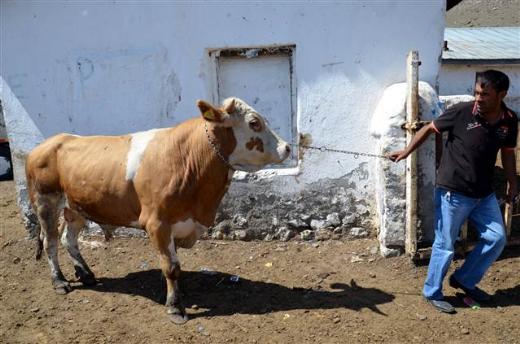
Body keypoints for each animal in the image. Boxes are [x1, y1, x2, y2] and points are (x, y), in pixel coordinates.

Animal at [26, 98, 290, 324]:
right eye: (254, 122)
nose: (286, 147)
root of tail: (46, 144)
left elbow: (174, 264)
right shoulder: (157, 223)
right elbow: (171, 267)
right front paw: (175, 307)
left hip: (76, 207)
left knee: (68, 239)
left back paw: (86, 273)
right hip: (45, 202)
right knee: (50, 242)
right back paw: (59, 281)